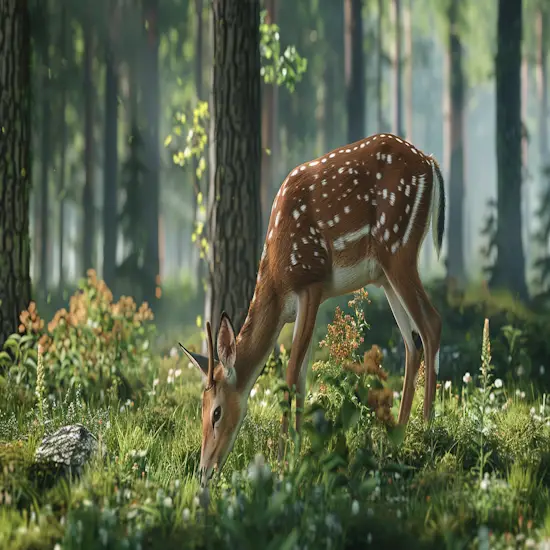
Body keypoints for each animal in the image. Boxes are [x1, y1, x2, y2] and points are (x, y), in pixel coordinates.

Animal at [181, 133, 448, 488]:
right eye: (200, 409)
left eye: (217, 412)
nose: (204, 472)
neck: (277, 281)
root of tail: (430, 162)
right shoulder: (307, 303)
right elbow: (303, 379)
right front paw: (297, 456)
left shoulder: (310, 281)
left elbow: (291, 377)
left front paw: (282, 463)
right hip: (383, 273)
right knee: (411, 342)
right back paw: (397, 437)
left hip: (397, 244)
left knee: (432, 323)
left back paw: (427, 430)